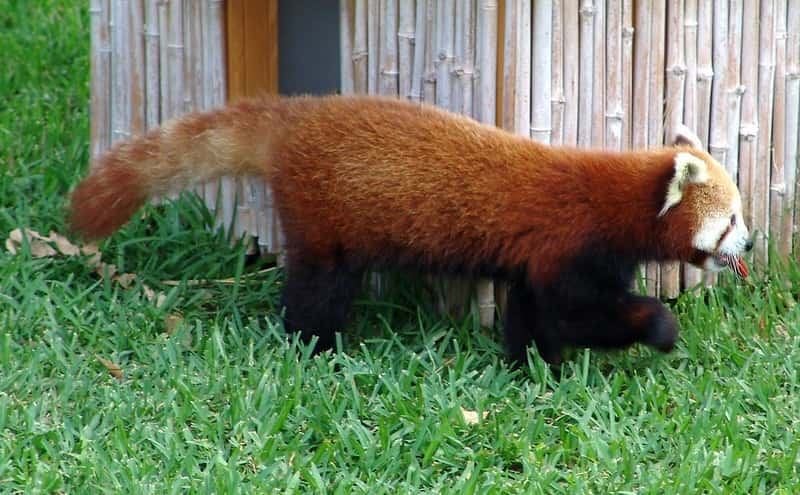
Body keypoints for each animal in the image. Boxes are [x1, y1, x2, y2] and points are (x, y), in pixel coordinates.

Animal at [72, 95, 752, 364]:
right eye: (732, 220)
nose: (749, 244)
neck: (613, 201)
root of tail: (295, 118)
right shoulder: (572, 246)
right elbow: (580, 313)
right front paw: (660, 329)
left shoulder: (536, 260)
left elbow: (533, 313)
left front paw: (533, 368)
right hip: (328, 223)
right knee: (318, 289)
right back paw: (316, 347)